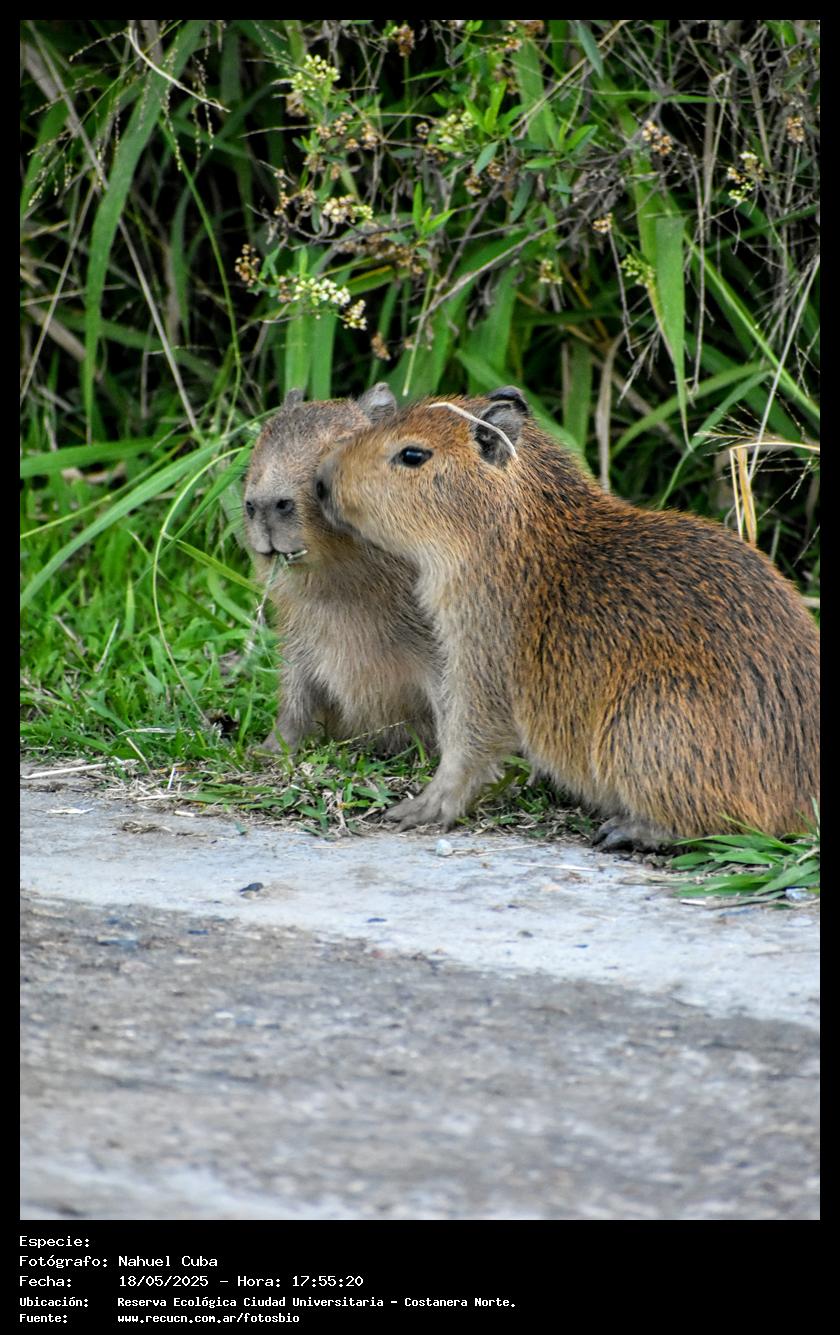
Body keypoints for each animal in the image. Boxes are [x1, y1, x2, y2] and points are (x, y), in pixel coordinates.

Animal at [243, 385, 441, 755]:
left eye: (341, 442)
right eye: (264, 435)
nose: (263, 504)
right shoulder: (299, 642)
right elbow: (294, 699)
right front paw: (267, 750)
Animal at [314, 388, 820, 849]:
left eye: (413, 453)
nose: (320, 481)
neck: (527, 541)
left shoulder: (482, 661)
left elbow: (467, 744)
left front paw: (417, 809)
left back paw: (625, 831)